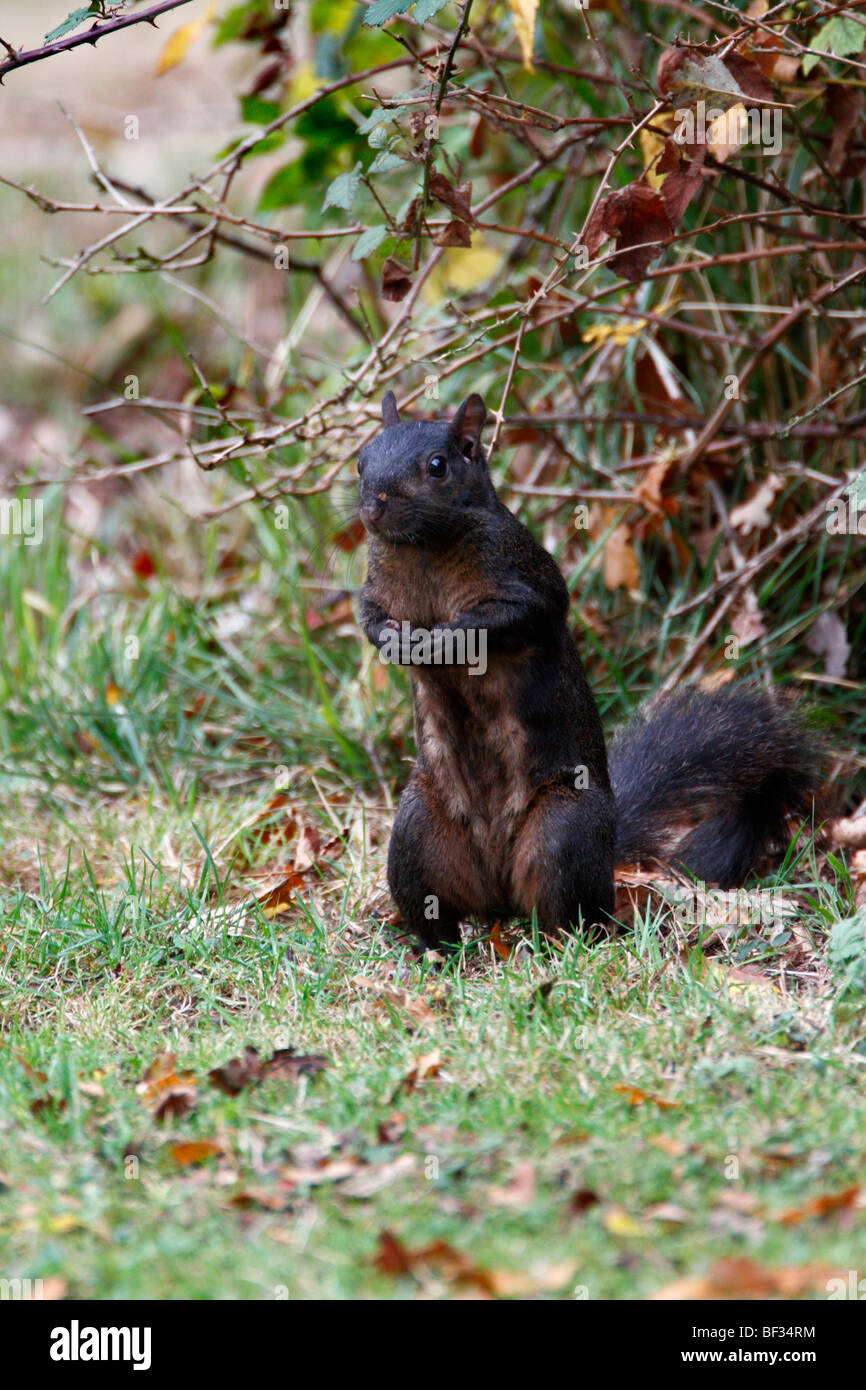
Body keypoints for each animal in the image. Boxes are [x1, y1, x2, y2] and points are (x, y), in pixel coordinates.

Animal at [355, 391, 822, 956]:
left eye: (438, 466)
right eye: (361, 461)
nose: (372, 506)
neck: (421, 548)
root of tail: (500, 898)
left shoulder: (524, 576)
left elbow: (507, 618)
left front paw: (443, 637)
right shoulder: (376, 588)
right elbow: (369, 617)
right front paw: (392, 640)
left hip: (564, 826)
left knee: (572, 913)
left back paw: (562, 944)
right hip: (418, 831)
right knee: (433, 905)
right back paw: (435, 950)